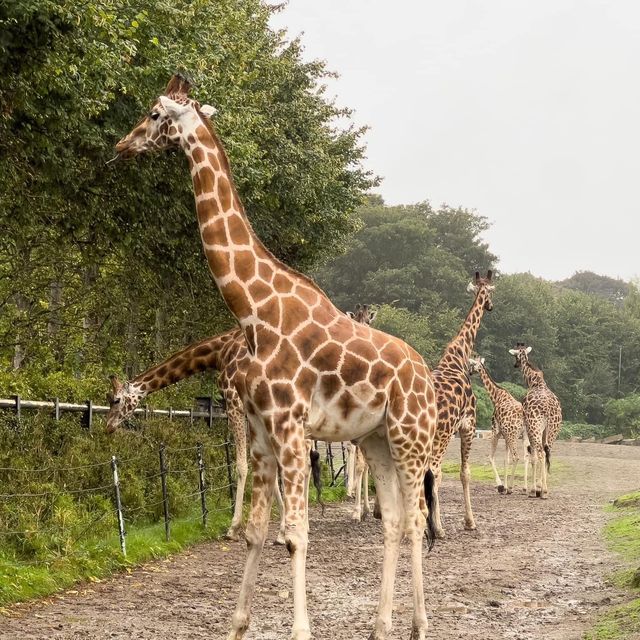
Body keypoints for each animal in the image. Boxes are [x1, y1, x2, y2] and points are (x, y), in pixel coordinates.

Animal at [116, 74, 440, 640]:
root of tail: (424, 373)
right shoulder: (262, 431)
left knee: (417, 517)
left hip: (409, 435)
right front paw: (236, 625)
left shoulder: (289, 425)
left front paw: (300, 630)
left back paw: (419, 626)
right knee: (396, 519)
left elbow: (295, 533)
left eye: (155, 114)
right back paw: (380, 626)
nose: (121, 145)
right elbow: (256, 531)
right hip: (374, 438)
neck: (253, 312)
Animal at [468, 356, 528, 496]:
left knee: (516, 457)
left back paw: (511, 488)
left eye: (472, 364)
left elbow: (491, 457)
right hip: (524, 435)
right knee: (527, 457)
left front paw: (501, 486)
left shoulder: (496, 431)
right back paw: (527, 488)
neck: (496, 396)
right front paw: (504, 487)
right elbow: (506, 460)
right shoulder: (505, 436)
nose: (470, 372)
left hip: (512, 435)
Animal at [508, 342, 564, 498]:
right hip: (553, 429)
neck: (534, 382)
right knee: (546, 452)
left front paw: (533, 489)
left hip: (535, 427)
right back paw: (544, 490)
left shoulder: (527, 427)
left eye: (515, 356)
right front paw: (539, 486)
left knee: (539, 452)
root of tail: (548, 409)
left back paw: (539, 490)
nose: (515, 365)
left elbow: (531, 455)